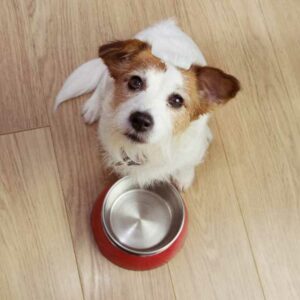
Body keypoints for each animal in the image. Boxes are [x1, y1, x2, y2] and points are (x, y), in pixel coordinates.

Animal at [55, 19, 240, 191]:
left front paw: (184, 177)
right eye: (135, 82)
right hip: (107, 80)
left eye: (177, 100)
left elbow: (188, 164)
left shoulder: (192, 151)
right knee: (101, 84)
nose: (140, 120)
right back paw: (93, 107)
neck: (148, 150)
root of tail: (168, 24)